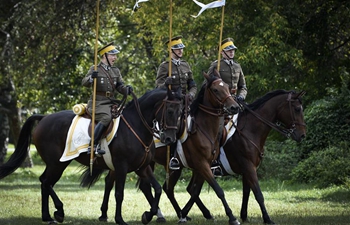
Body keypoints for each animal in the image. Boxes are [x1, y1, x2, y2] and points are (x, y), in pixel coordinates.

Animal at [0, 86, 185, 225]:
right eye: (170, 110)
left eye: (181, 112)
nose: (169, 139)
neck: (136, 126)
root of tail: (44, 117)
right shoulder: (121, 167)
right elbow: (119, 193)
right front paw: (120, 219)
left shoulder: (142, 167)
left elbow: (158, 189)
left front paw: (147, 215)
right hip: (57, 164)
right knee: (45, 181)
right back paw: (58, 211)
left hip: (58, 164)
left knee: (45, 182)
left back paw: (48, 216)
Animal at [86, 71, 243, 225]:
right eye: (216, 90)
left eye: (227, 88)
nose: (234, 107)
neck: (203, 127)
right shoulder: (201, 164)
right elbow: (216, 190)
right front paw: (231, 217)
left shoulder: (202, 166)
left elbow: (195, 191)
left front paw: (192, 213)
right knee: (147, 186)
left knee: (115, 181)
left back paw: (107, 213)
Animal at [139, 89, 306, 224]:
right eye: (297, 109)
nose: (302, 135)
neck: (250, 130)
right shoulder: (248, 167)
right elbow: (258, 193)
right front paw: (267, 219)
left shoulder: (245, 169)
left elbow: (246, 191)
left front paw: (244, 216)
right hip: (172, 166)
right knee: (165, 188)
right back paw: (165, 215)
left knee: (173, 189)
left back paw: (189, 214)